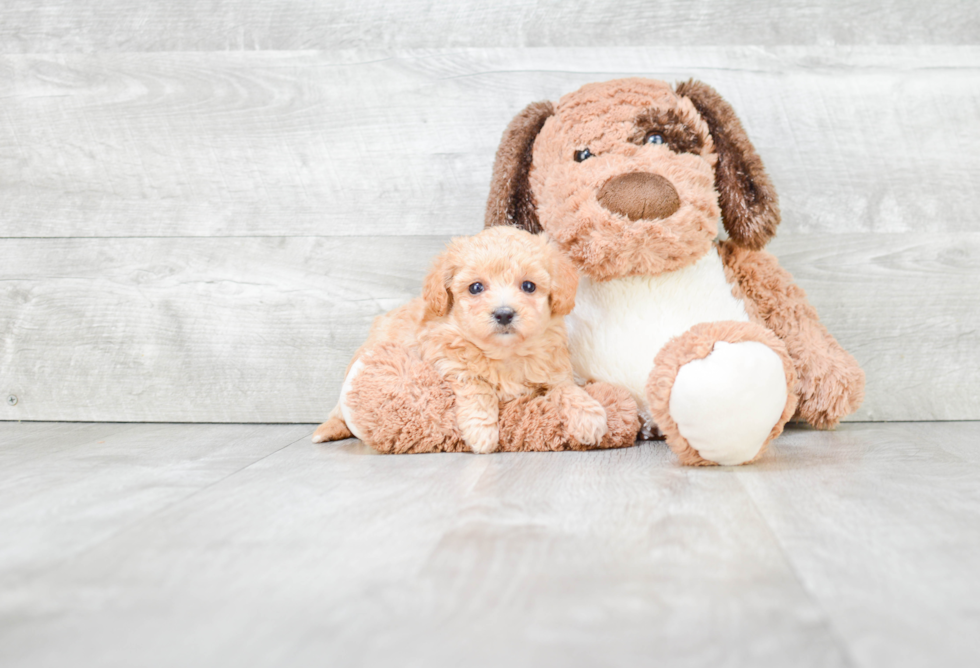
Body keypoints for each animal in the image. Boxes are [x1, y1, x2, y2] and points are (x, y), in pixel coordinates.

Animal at [310, 226, 608, 454]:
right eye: (476, 287)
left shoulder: (555, 370)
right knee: (339, 413)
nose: (504, 313)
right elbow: (477, 386)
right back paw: (326, 430)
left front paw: (589, 416)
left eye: (528, 286)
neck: (505, 353)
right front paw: (482, 433)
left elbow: (567, 389)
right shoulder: (449, 359)